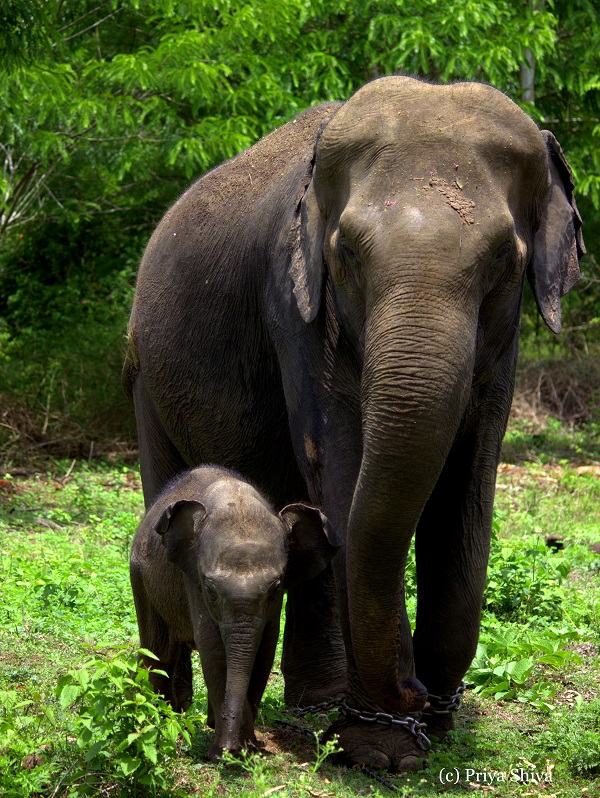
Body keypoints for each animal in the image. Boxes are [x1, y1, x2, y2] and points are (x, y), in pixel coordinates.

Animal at [130, 468, 342, 764]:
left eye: (275, 588)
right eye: (210, 589)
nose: (230, 750)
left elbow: (263, 650)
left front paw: (247, 749)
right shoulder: (192, 579)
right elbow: (214, 649)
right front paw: (226, 753)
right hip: (140, 578)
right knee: (158, 653)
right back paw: (158, 719)